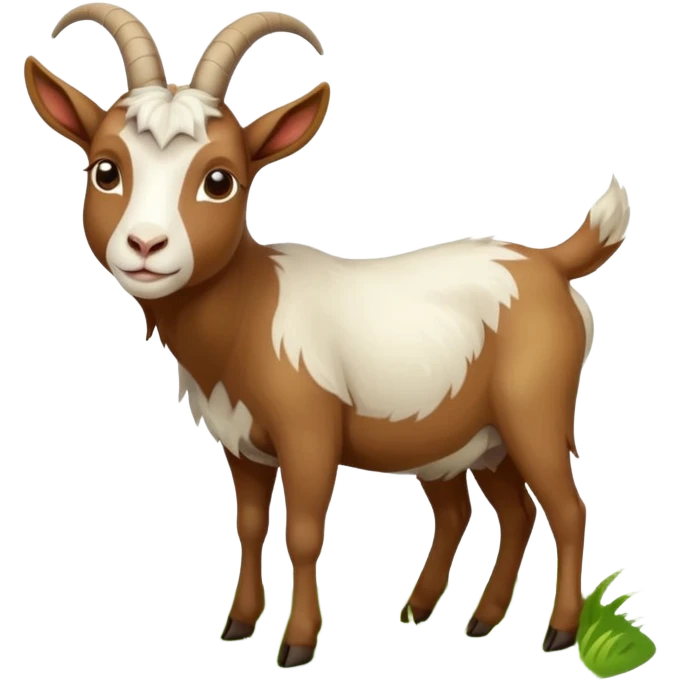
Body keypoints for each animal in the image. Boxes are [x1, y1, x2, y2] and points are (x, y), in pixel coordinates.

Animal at [25, 2, 631, 671]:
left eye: (220, 179)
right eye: (105, 170)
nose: (145, 245)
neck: (248, 309)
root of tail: (548, 262)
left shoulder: (309, 432)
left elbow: (305, 532)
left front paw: (295, 642)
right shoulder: (242, 444)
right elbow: (249, 526)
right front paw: (239, 624)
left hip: (534, 412)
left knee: (566, 510)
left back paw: (561, 633)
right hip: (475, 436)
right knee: (501, 512)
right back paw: (458, 616)